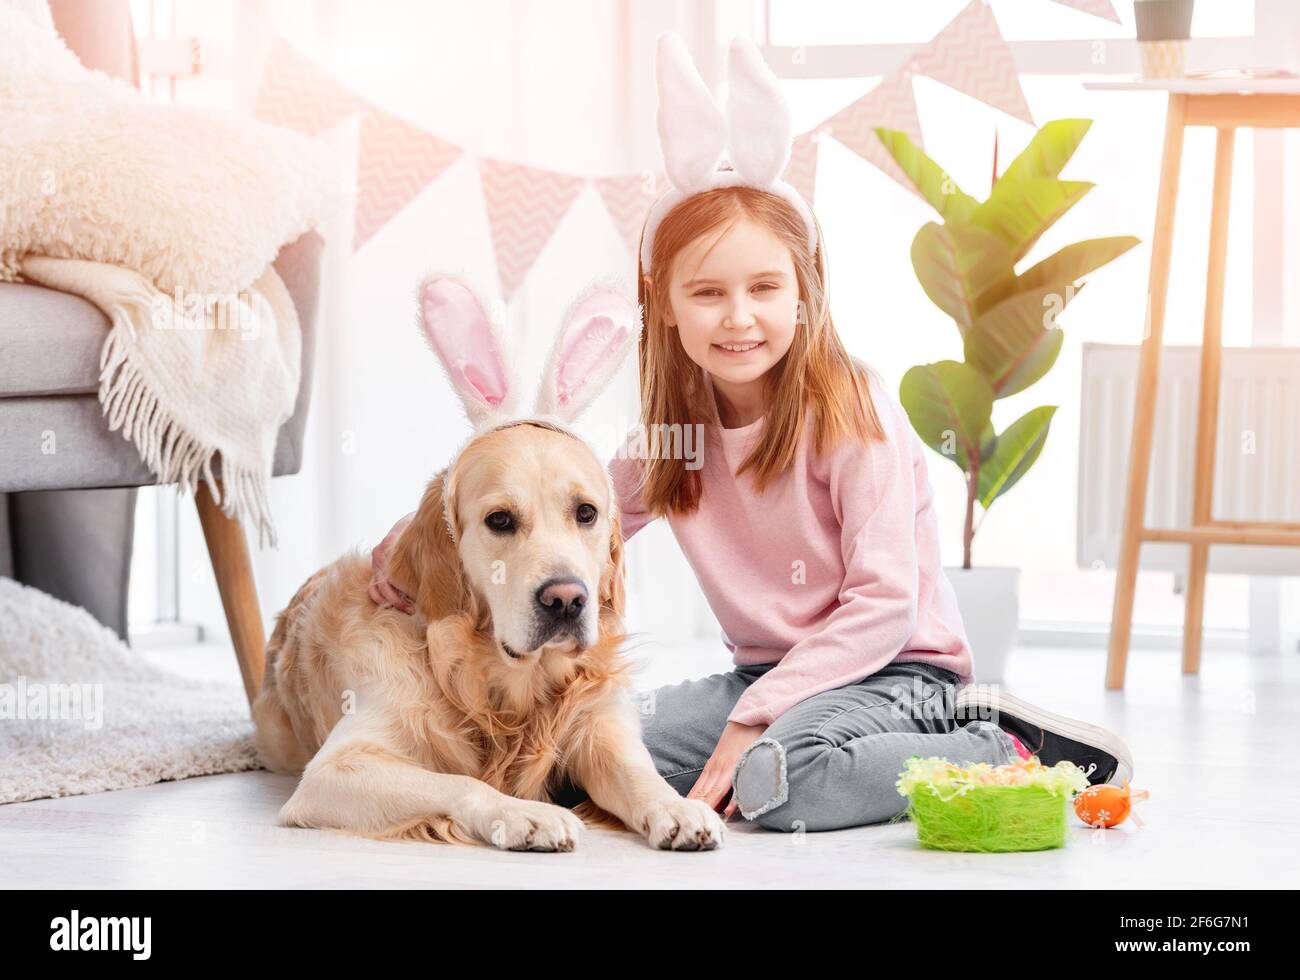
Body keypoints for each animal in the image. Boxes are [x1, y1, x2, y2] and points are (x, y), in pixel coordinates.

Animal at [253, 275, 722, 847]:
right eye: (499, 520)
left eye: (586, 512)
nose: (566, 599)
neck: (494, 685)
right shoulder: (334, 769)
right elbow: (457, 781)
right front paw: (526, 814)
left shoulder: (597, 725)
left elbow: (637, 771)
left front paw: (676, 806)